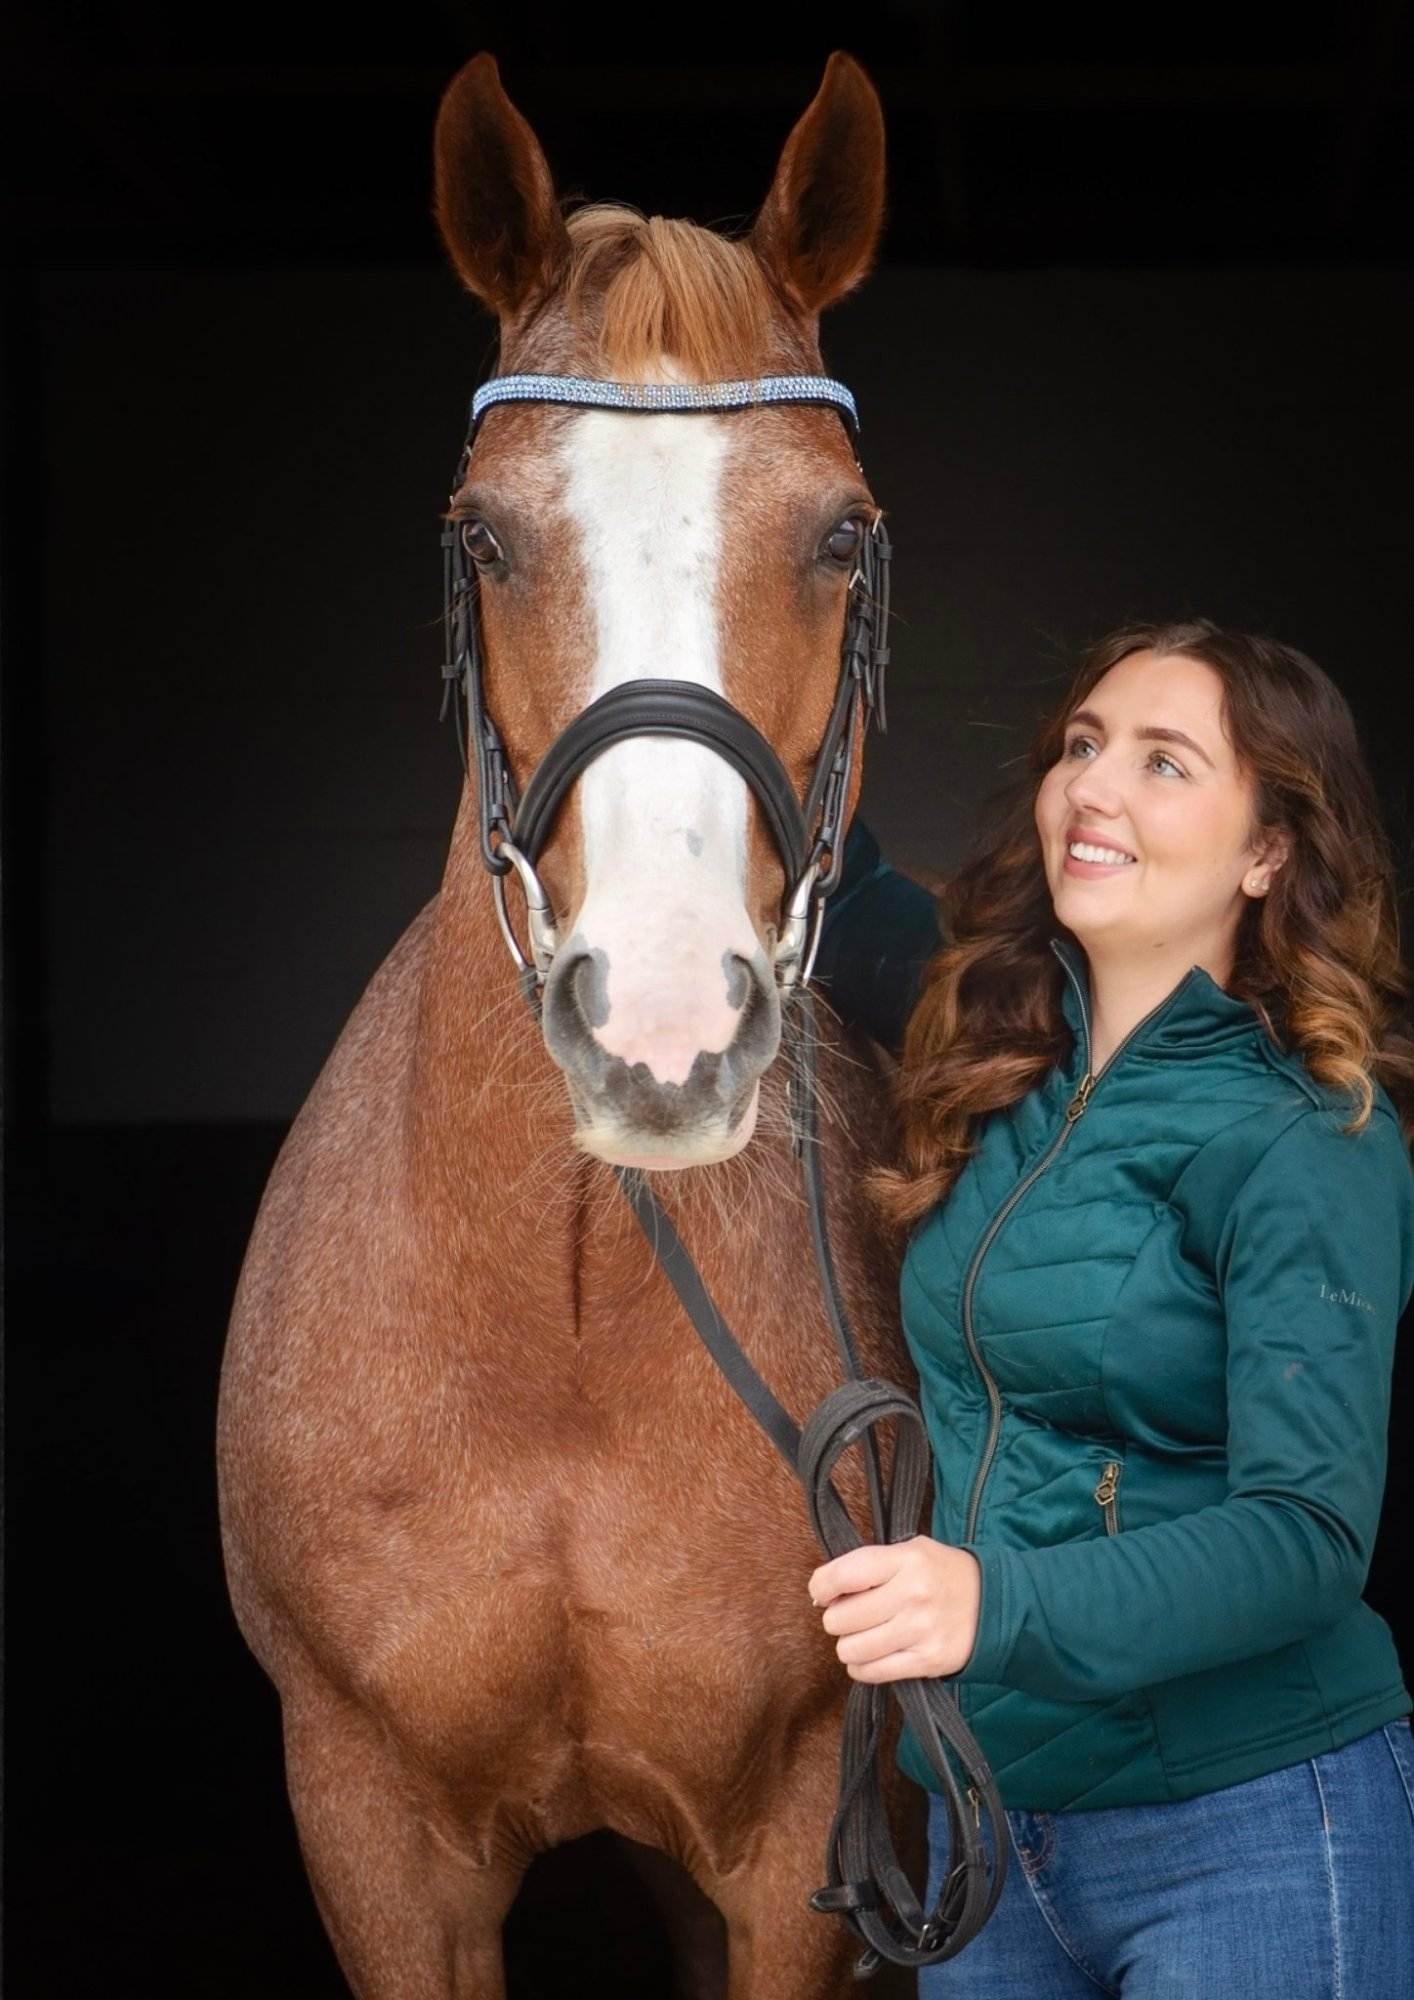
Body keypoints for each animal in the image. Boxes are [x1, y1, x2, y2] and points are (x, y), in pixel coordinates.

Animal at [217, 49, 923, 1999]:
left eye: (838, 534)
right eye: (484, 534)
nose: (663, 1031)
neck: (564, 1336)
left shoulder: (797, 1844)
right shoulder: (371, 1833)